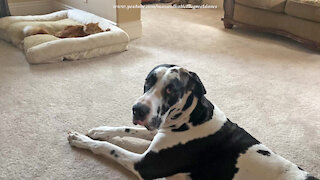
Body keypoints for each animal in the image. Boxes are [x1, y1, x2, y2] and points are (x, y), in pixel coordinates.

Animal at [67, 64, 318, 179]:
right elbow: (126, 128)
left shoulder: (146, 166)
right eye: (148, 80)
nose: (138, 109)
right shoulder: (159, 128)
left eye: (171, 89)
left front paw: (81, 140)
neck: (191, 117)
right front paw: (99, 130)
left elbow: (109, 148)